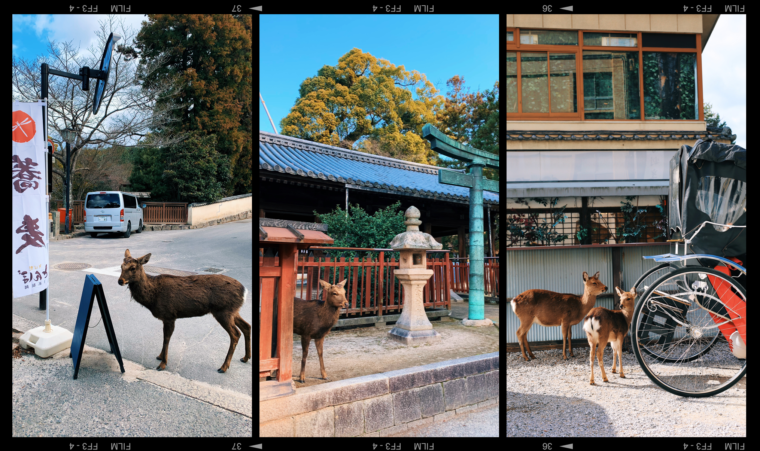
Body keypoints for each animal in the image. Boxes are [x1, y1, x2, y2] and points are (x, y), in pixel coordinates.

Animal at [117, 249, 251, 372]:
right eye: (121, 266)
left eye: (133, 268)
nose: (120, 281)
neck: (153, 297)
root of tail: (244, 291)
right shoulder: (167, 317)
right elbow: (165, 338)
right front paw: (160, 356)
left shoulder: (169, 315)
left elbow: (166, 338)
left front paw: (162, 364)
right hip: (233, 311)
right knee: (246, 326)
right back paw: (245, 357)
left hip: (223, 311)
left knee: (235, 334)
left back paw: (224, 367)